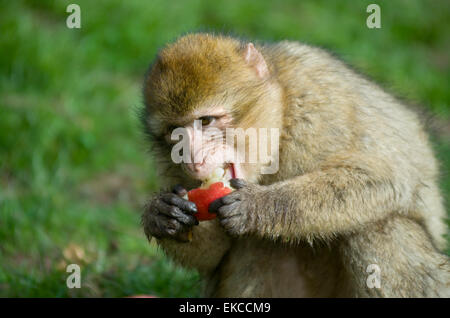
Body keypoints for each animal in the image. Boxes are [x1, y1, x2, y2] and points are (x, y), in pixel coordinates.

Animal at [140, 33, 446, 296]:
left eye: (205, 121)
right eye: (175, 132)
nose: (192, 159)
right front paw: (163, 214)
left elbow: (386, 177)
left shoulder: (318, 105)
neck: (282, 117)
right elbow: (213, 255)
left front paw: (259, 207)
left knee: (379, 227)